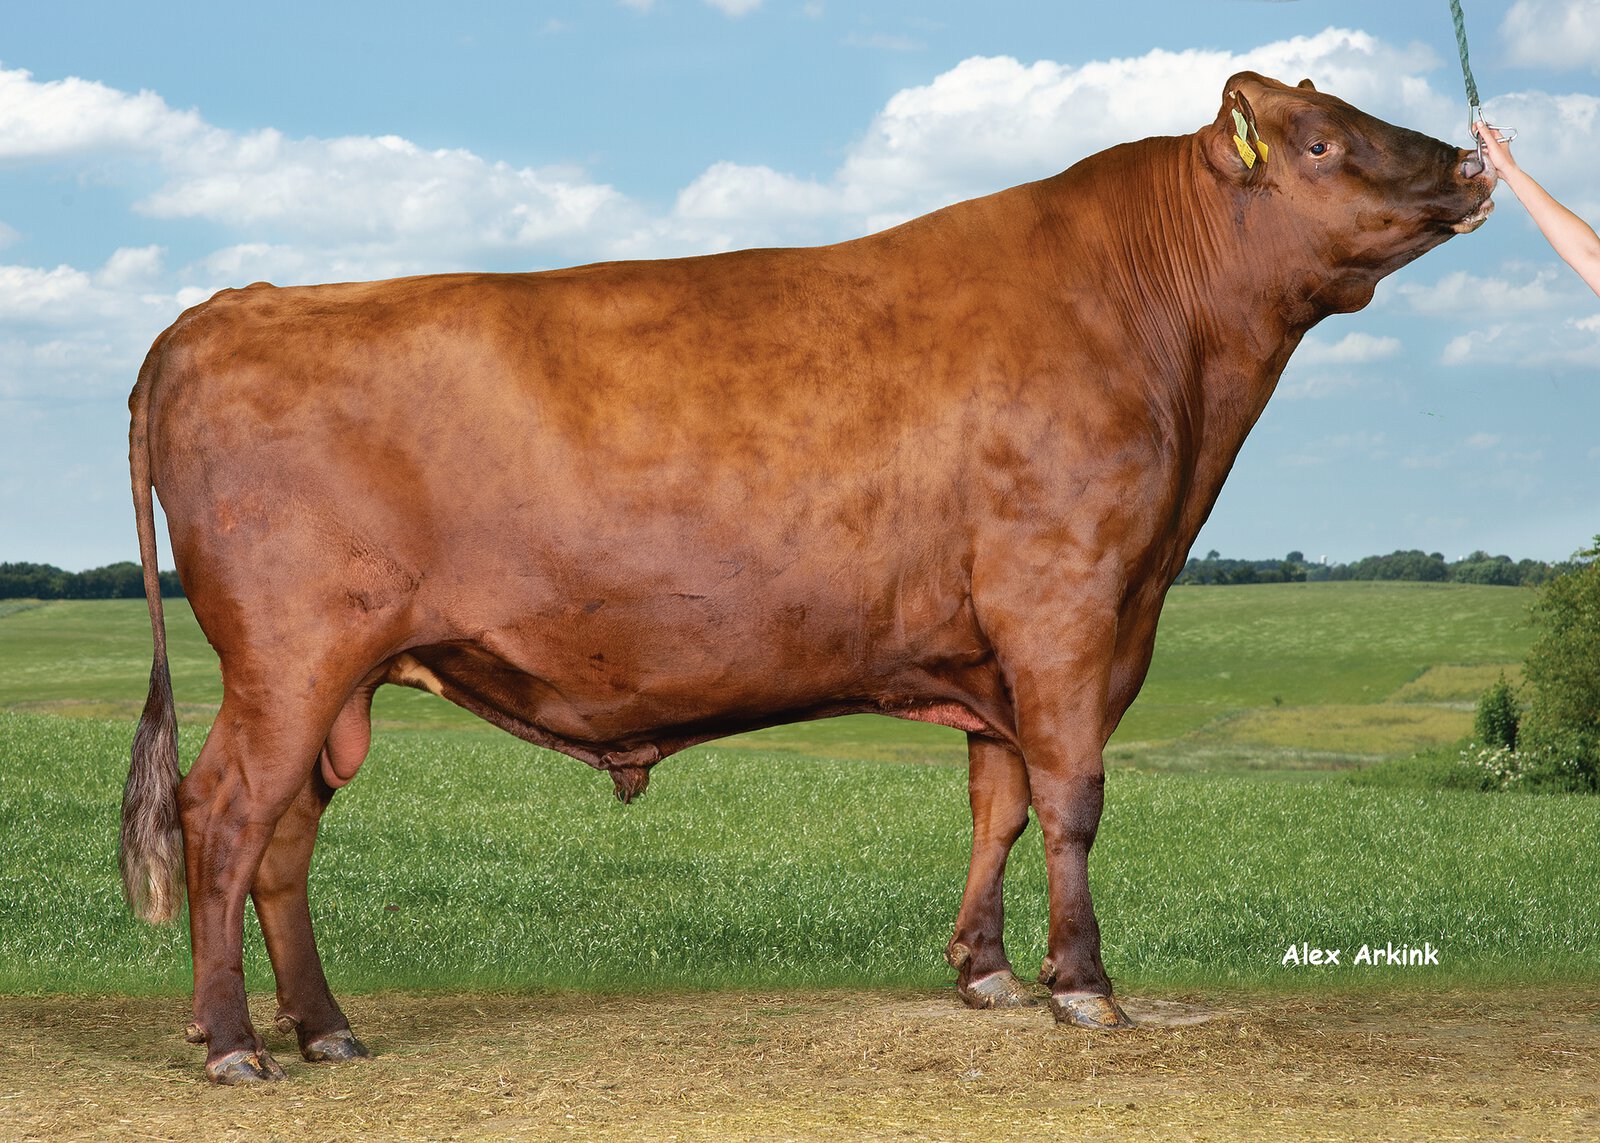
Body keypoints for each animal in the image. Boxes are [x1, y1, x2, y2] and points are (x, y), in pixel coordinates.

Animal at [121, 72, 1494, 1082]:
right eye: (1320, 141)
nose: (1473, 165)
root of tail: (225, 307)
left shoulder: (1002, 642)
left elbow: (998, 802)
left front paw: (988, 973)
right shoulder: (1068, 606)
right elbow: (1072, 799)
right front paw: (1086, 988)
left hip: (335, 682)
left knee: (285, 840)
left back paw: (325, 1028)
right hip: (289, 657)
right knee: (225, 816)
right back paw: (235, 1046)